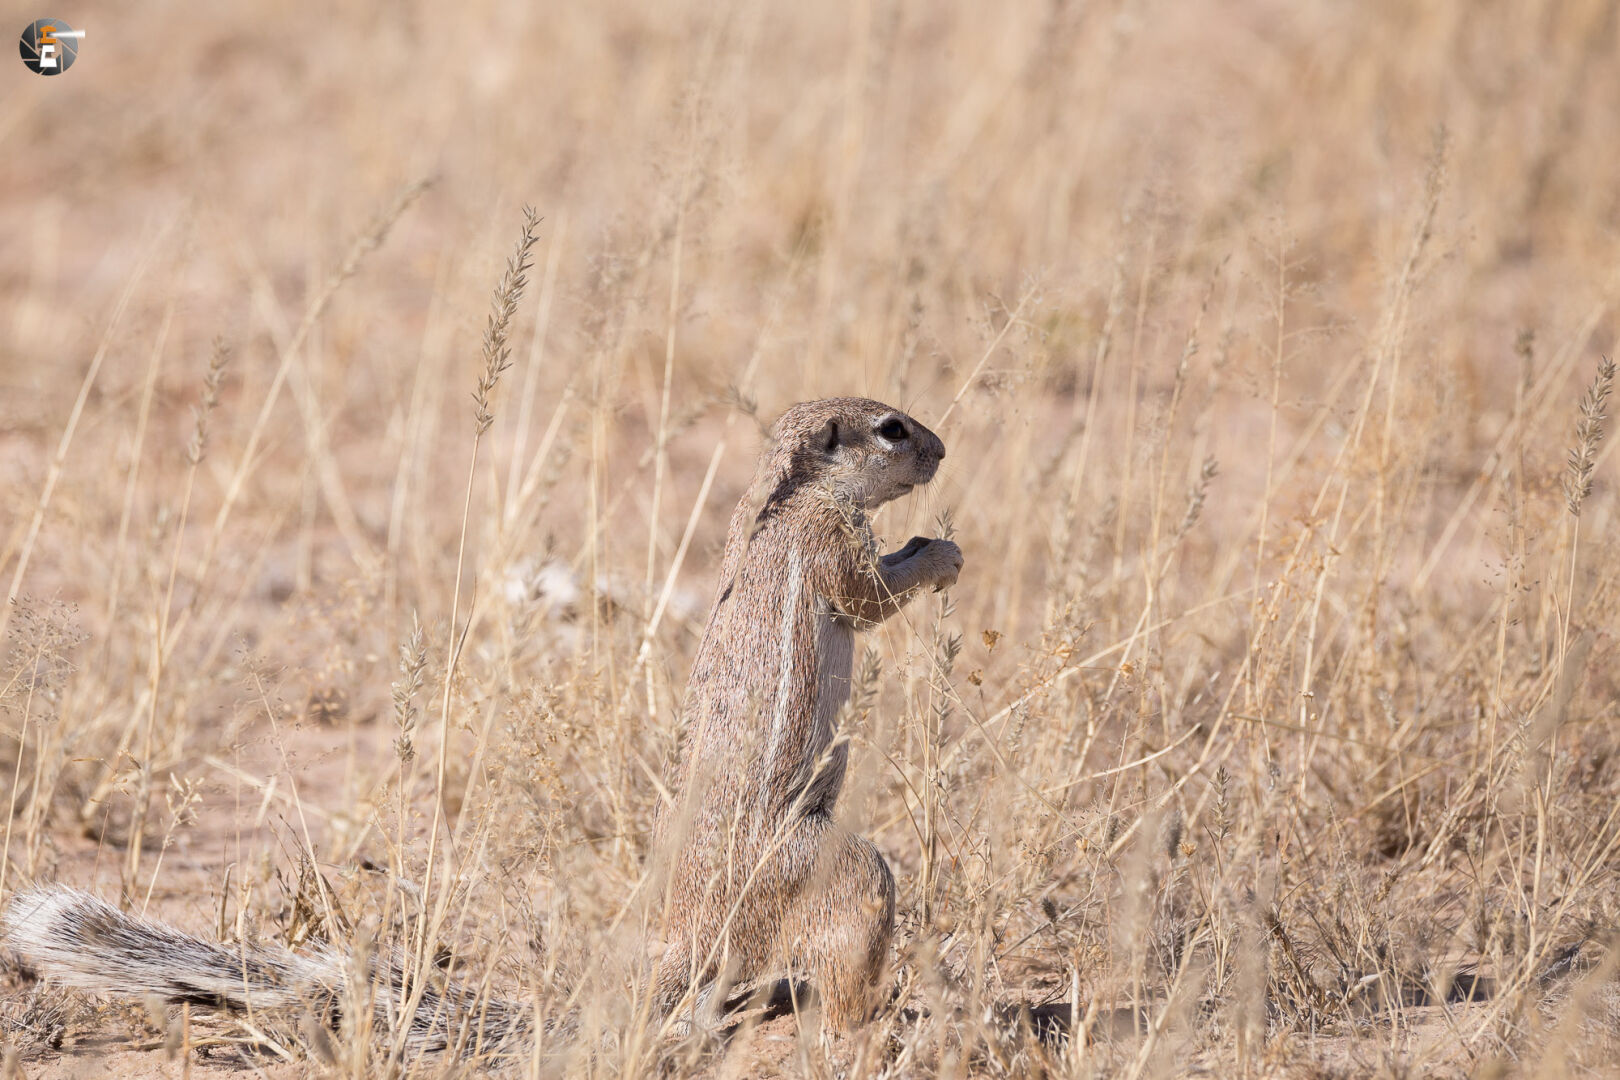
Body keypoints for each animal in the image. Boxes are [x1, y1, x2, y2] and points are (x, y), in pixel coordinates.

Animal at [0, 396, 962, 1052]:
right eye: (890, 428)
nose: (945, 449)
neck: (790, 494)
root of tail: (687, 922)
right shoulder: (828, 547)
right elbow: (871, 596)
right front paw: (939, 553)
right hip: (831, 869)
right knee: (846, 947)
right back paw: (875, 1019)